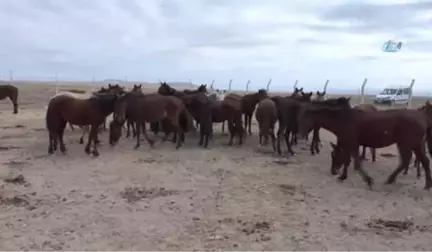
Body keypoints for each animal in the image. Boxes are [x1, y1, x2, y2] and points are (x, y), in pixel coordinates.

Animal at [298, 97, 432, 190]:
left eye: (334, 155)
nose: (333, 171)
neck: (343, 119)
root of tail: (422, 118)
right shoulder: (350, 144)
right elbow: (348, 160)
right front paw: (343, 177)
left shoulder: (352, 144)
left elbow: (355, 163)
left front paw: (368, 181)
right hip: (416, 145)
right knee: (424, 161)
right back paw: (427, 185)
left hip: (406, 144)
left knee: (406, 161)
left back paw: (390, 179)